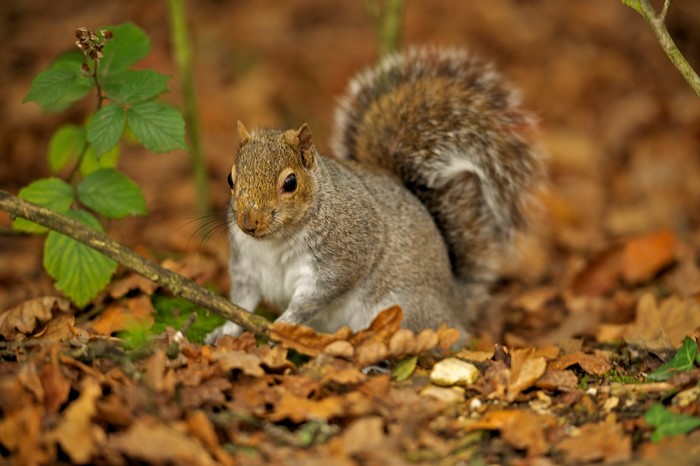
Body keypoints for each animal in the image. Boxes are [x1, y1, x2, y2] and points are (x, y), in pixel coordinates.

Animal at [206, 47, 544, 345]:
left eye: (290, 183)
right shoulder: (247, 265)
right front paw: (224, 330)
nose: (248, 223)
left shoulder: (343, 257)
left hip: (401, 309)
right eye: (230, 179)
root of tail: (454, 305)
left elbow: (313, 297)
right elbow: (243, 300)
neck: (275, 241)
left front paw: (283, 323)